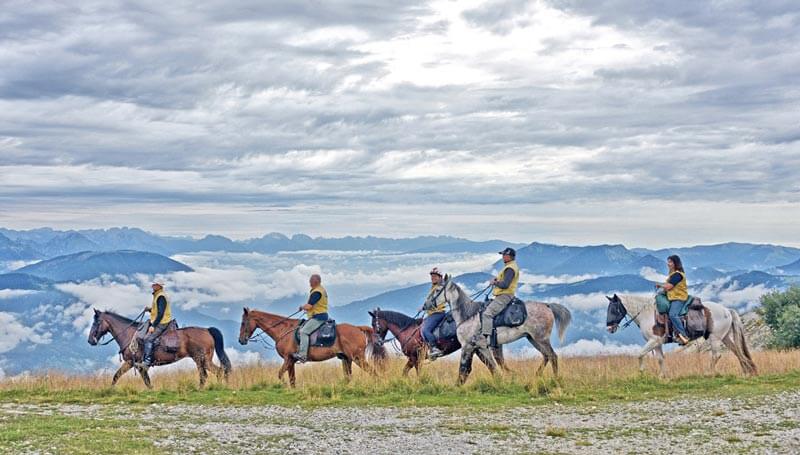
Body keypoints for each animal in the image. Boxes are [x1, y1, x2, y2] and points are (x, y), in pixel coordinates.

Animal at [87, 309, 232, 388]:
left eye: (96, 322)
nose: (90, 340)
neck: (129, 335)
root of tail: (207, 330)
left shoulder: (135, 364)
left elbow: (141, 380)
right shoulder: (132, 364)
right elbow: (117, 376)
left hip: (202, 359)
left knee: (217, 372)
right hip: (200, 360)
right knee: (205, 375)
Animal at [238, 308, 384, 387]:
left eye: (243, 322)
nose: (241, 340)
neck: (284, 330)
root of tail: (358, 329)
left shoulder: (287, 359)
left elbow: (280, 375)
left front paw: (283, 386)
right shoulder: (291, 361)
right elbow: (292, 379)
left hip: (358, 358)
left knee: (374, 372)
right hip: (347, 359)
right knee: (349, 377)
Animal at [368, 308, 510, 376]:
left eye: (374, 323)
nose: (377, 342)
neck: (408, 331)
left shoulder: (415, 357)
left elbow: (417, 373)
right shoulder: (413, 359)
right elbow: (404, 372)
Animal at [440, 276, 572, 384]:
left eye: (438, 290)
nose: (432, 305)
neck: (468, 315)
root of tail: (547, 305)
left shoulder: (468, 346)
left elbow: (464, 368)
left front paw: (457, 386)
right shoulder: (480, 347)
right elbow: (492, 365)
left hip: (541, 339)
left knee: (553, 356)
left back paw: (555, 379)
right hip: (532, 338)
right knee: (546, 356)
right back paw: (537, 375)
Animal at [605, 294, 757, 377]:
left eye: (614, 309)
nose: (609, 328)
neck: (646, 314)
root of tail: (727, 310)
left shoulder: (653, 341)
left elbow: (640, 354)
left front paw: (642, 373)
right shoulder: (657, 343)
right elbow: (660, 359)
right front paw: (662, 376)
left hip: (715, 338)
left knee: (716, 355)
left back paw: (709, 373)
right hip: (724, 337)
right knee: (737, 351)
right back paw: (746, 372)